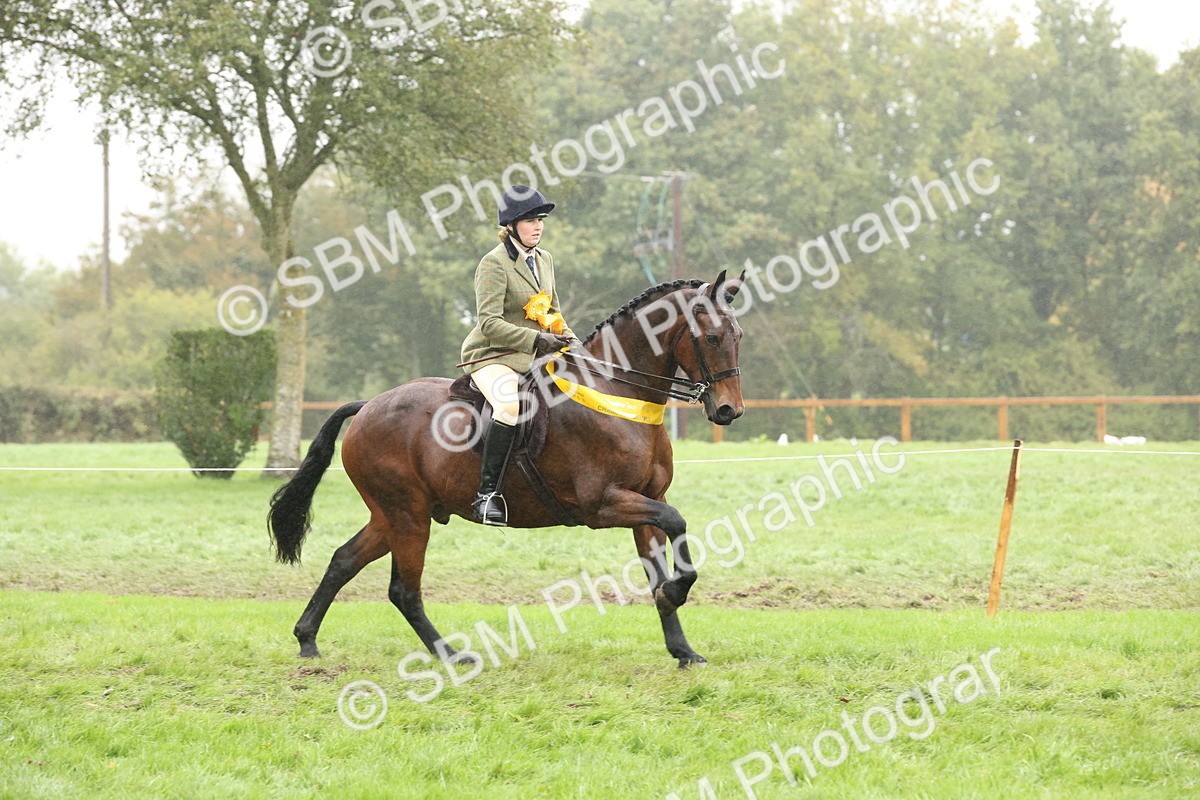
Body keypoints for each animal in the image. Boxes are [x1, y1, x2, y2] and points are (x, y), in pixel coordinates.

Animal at [267, 271, 746, 668]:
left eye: (738, 334)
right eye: (713, 337)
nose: (729, 411)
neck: (616, 391)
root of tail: (368, 405)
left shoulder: (647, 500)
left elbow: (659, 562)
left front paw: (682, 647)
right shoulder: (602, 505)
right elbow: (677, 523)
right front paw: (675, 594)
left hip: (393, 516)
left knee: (344, 560)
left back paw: (307, 639)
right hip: (407, 516)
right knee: (403, 590)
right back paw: (451, 655)